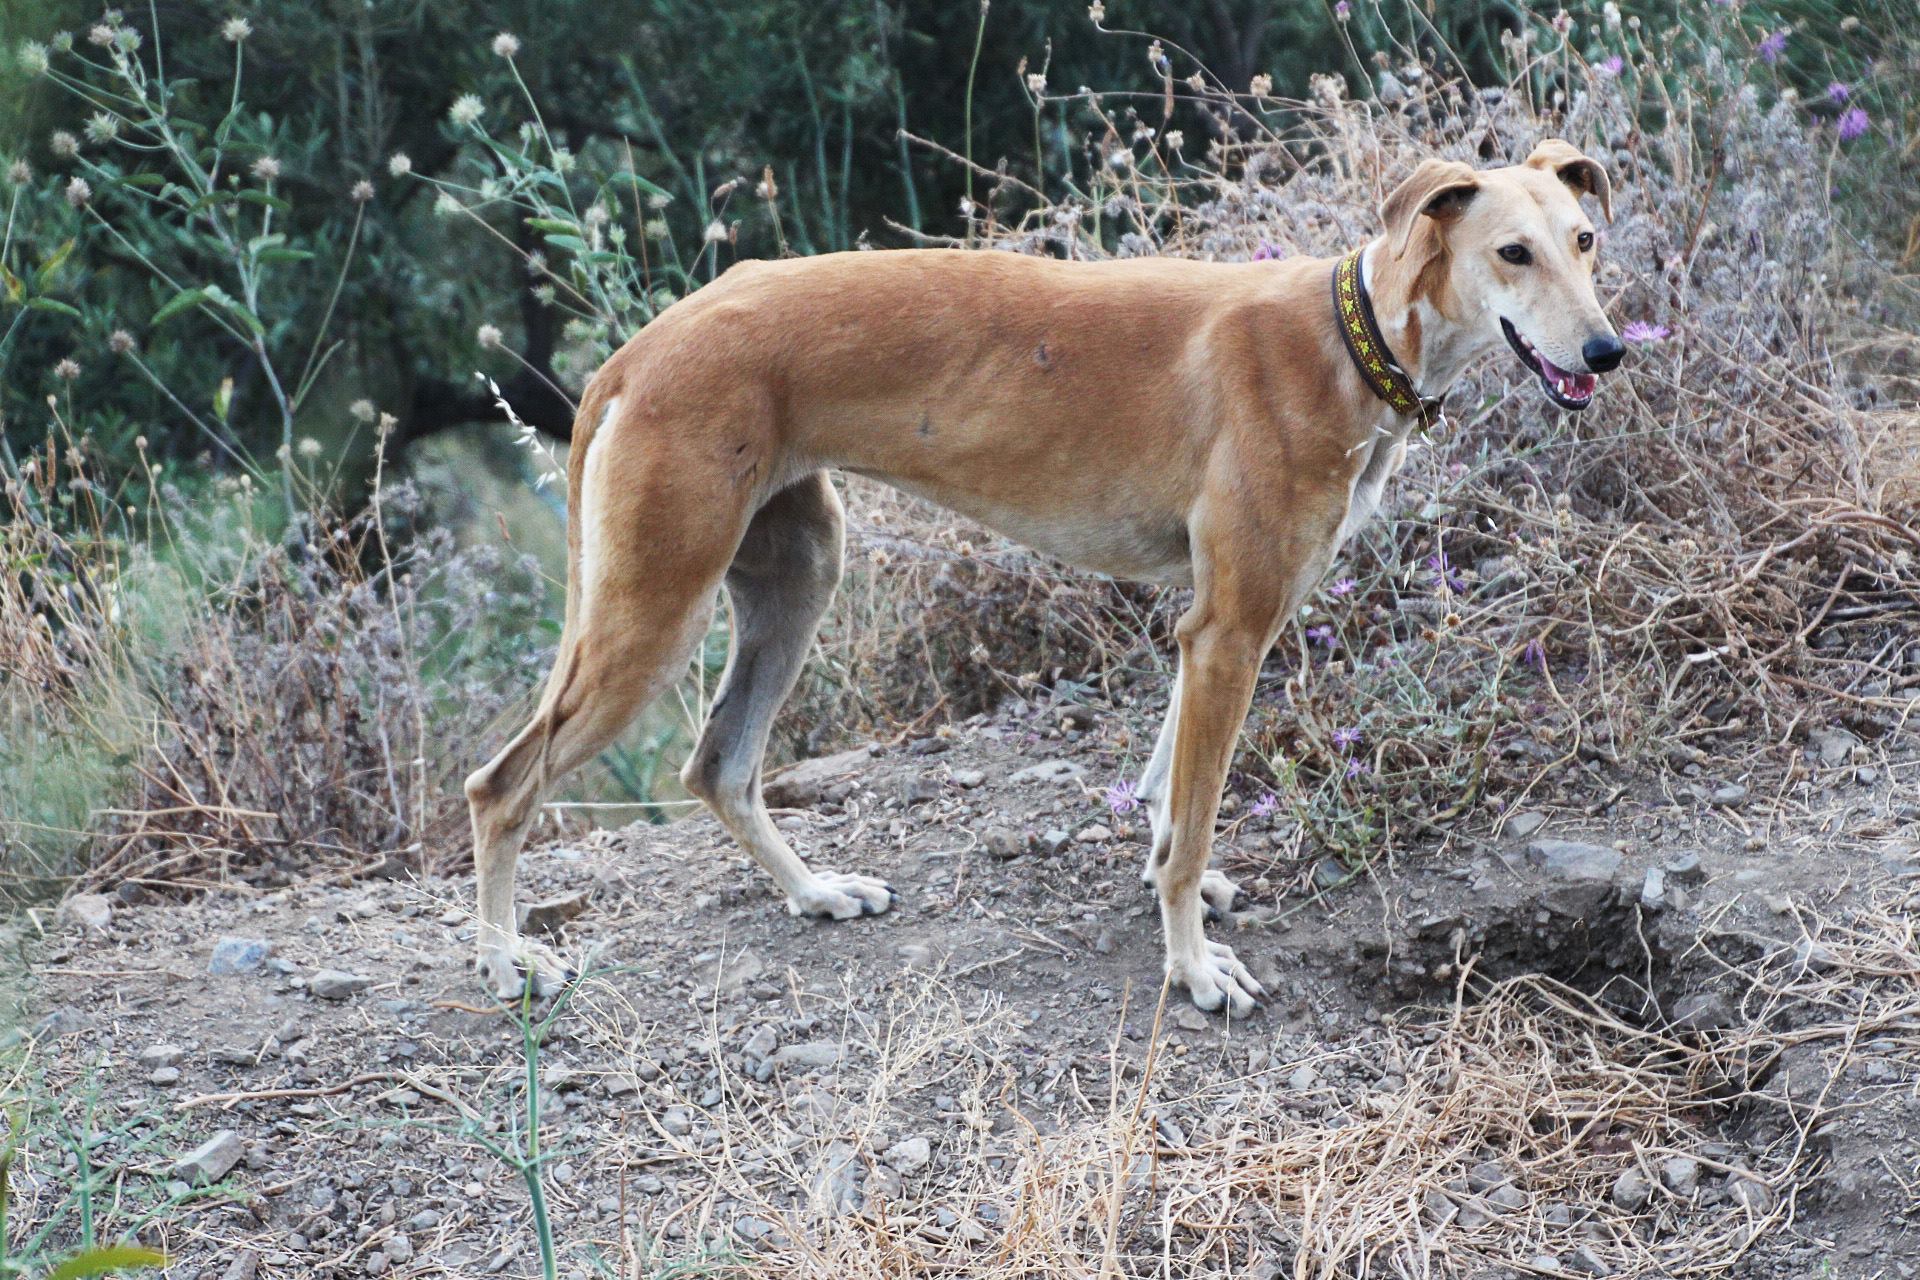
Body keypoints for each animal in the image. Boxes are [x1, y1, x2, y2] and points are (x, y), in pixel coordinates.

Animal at [465, 138, 1624, 1017]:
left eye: (1584, 239)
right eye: (1511, 253)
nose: (1609, 352)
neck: (1352, 333)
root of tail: (635, 354)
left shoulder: (1213, 626)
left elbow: (1168, 801)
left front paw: (1176, 901)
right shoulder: (1231, 630)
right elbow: (1193, 823)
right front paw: (1194, 969)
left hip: (794, 577)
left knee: (720, 764)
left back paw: (816, 891)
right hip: (651, 616)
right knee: (502, 784)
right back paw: (507, 959)